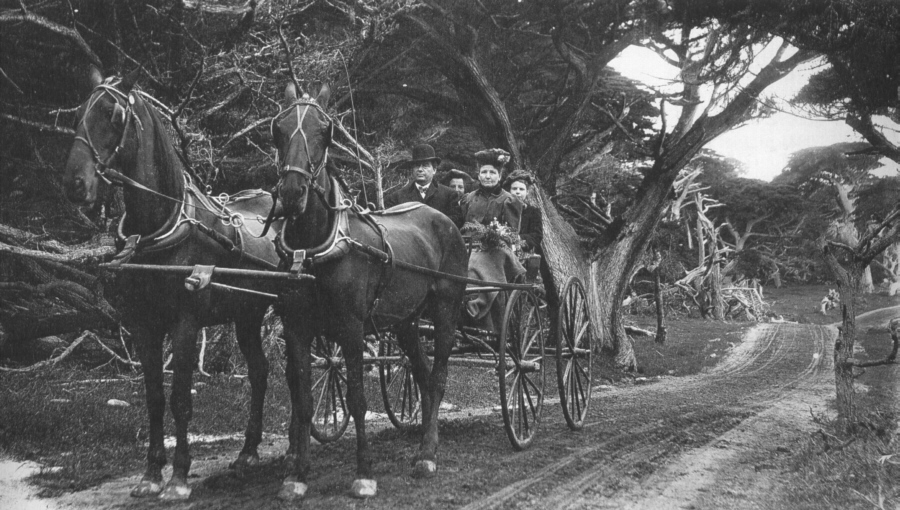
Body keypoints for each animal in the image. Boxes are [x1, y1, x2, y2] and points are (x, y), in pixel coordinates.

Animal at [62, 65, 282, 500]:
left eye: (114, 114)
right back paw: (247, 452)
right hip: (247, 314)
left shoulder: (185, 323)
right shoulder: (144, 325)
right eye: (77, 112)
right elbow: (154, 397)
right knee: (260, 371)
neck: (161, 229)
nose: (75, 183)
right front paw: (150, 474)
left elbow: (180, 397)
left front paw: (179, 476)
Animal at [270, 81, 468, 500]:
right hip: (407, 321)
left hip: (446, 309)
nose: (293, 192)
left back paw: (427, 455)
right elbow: (304, 402)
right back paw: (424, 441)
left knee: (438, 376)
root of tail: (443, 219)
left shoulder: (351, 328)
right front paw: (298, 475)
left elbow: (358, 400)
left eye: (324, 131)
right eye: (278, 129)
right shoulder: (297, 329)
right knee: (422, 375)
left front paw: (364, 473)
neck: (314, 247)